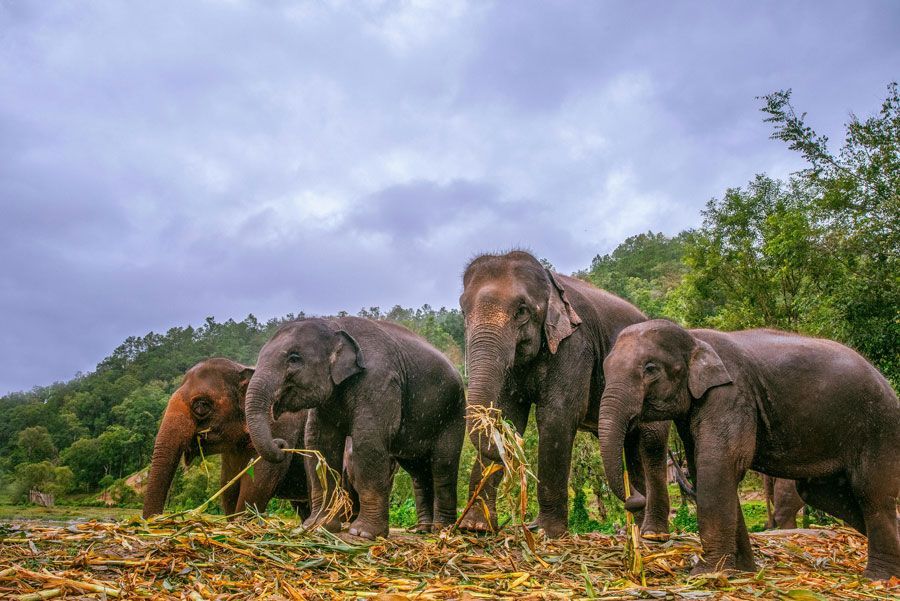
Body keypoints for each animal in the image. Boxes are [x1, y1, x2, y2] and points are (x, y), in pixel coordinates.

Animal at [244, 317, 466, 540]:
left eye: (294, 359)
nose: (280, 444)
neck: (334, 324)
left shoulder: (378, 381)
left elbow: (368, 440)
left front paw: (363, 533)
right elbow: (320, 443)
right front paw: (316, 526)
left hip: (454, 412)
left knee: (443, 464)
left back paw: (442, 530)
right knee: (418, 471)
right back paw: (423, 529)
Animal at [458, 250, 671, 538]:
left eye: (522, 311)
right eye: (463, 311)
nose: (513, 446)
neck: (550, 282)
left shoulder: (576, 344)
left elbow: (557, 416)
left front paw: (546, 532)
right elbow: (510, 414)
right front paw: (475, 527)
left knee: (651, 443)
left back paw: (652, 534)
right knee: (632, 446)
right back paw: (636, 530)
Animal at [598, 319, 900, 579]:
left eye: (650, 369)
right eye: (605, 367)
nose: (635, 499)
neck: (694, 338)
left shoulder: (731, 395)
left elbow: (717, 466)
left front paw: (706, 573)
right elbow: (706, 468)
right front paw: (741, 571)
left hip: (879, 427)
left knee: (870, 494)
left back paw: (878, 577)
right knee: (823, 493)